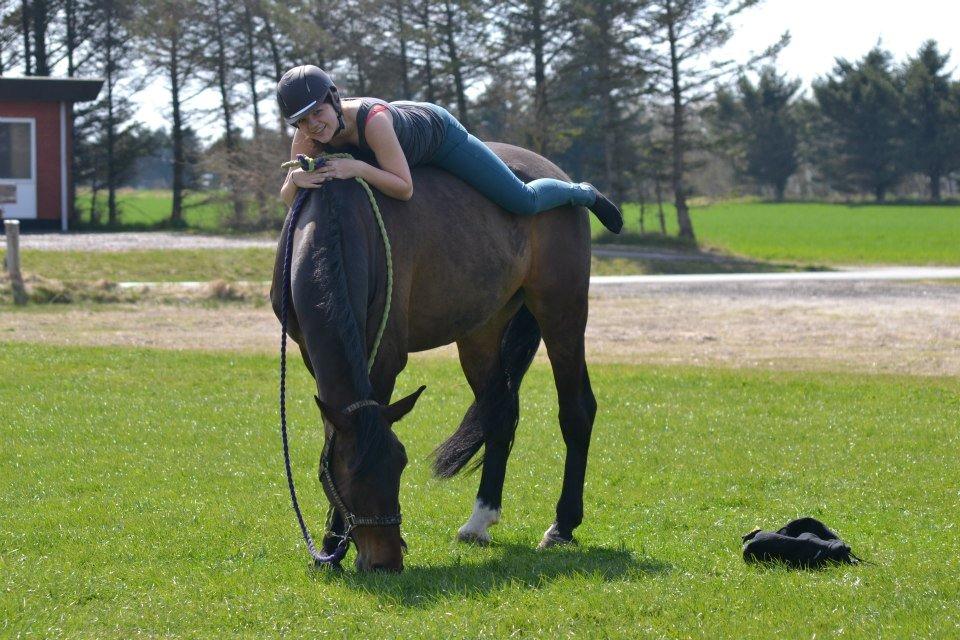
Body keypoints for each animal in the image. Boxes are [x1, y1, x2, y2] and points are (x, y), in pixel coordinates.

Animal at [270, 142, 608, 572]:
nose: (386, 561)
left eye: (399, 466)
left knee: (576, 411)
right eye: (349, 476)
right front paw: (329, 550)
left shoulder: (384, 359)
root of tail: (556, 175)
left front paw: (332, 547)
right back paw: (479, 520)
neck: (335, 218)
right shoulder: (309, 354)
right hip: (483, 330)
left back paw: (562, 525)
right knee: (500, 413)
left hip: (561, 309)